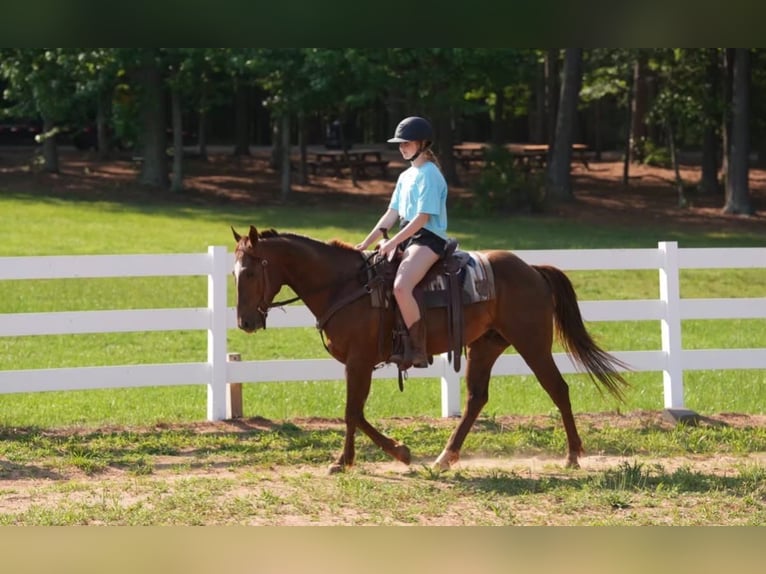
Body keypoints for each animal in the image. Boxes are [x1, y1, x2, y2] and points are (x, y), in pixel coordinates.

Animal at [231, 225, 629, 473]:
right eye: (234, 273)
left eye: (250, 272)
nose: (245, 321)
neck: (345, 286)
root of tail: (532, 268)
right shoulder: (357, 364)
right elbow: (356, 413)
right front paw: (396, 452)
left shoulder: (359, 361)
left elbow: (351, 412)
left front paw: (351, 460)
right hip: (485, 346)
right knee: (476, 398)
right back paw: (445, 457)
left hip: (532, 343)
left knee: (557, 388)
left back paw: (573, 455)